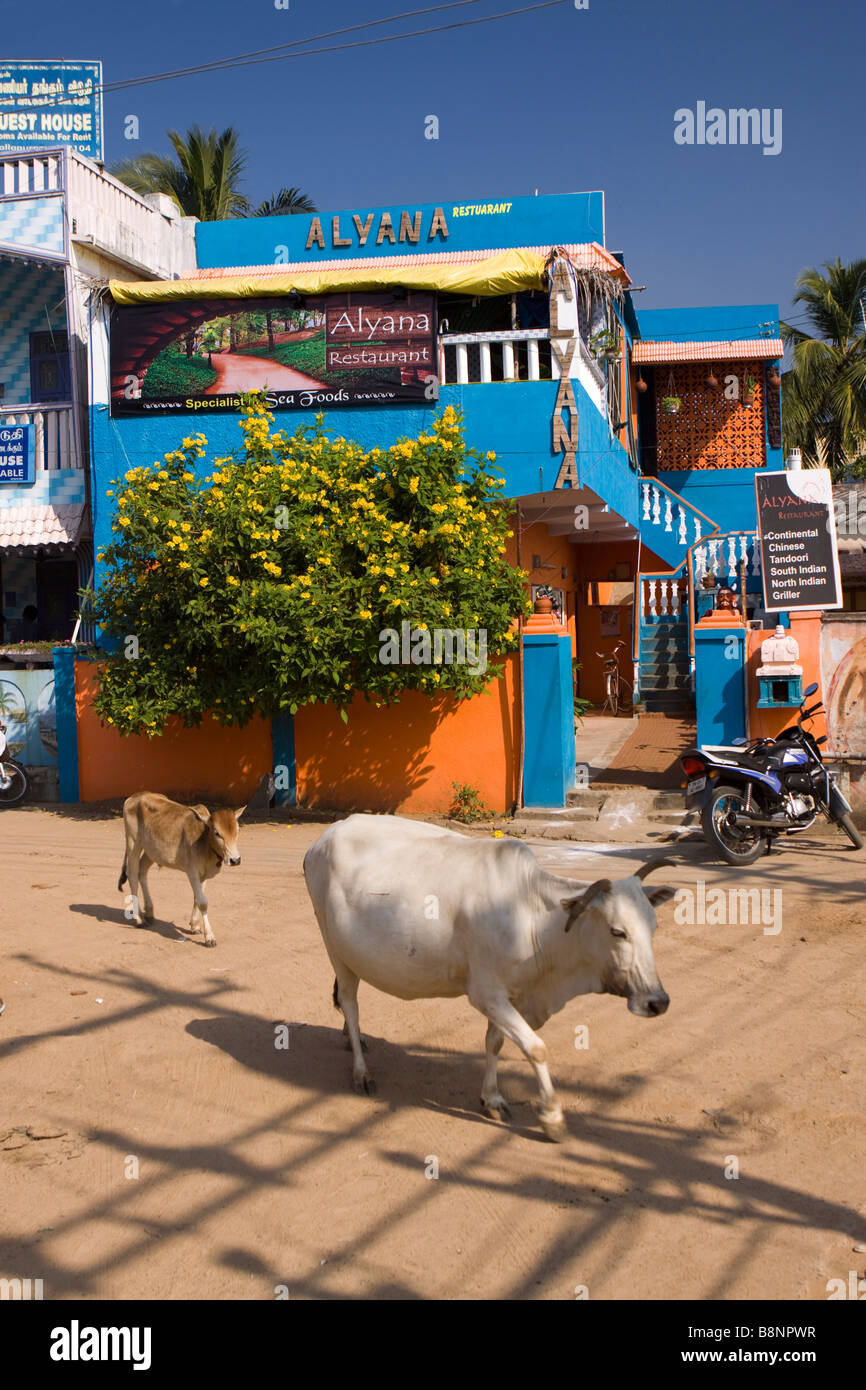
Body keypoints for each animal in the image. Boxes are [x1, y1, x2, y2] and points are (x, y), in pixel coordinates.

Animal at [116, 795, 246, 945]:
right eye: (217, 833)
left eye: (238, 830)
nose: (235, 860)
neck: (204, 842)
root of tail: (134, 797)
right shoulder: (192, 872)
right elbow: (203, 902)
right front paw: (209, 937)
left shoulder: (203, 876)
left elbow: (197, 898)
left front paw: (195, 925)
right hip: (133, 843)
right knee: (132, 875)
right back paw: (138, 918)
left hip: (151, 852)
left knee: (141, 872)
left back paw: (148, 912)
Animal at [304, 811, 678, 1139]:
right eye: (618, 932)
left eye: (653, 926)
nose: (658, 1002)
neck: (532, 917)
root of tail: (325, 838)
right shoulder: (487, 995)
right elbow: (535, 1048)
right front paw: (552, 1116)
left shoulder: (510, 996)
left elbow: (495, 1042)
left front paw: (493, 1098)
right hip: (333, 946)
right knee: (350, 1003)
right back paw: (361, 1071)